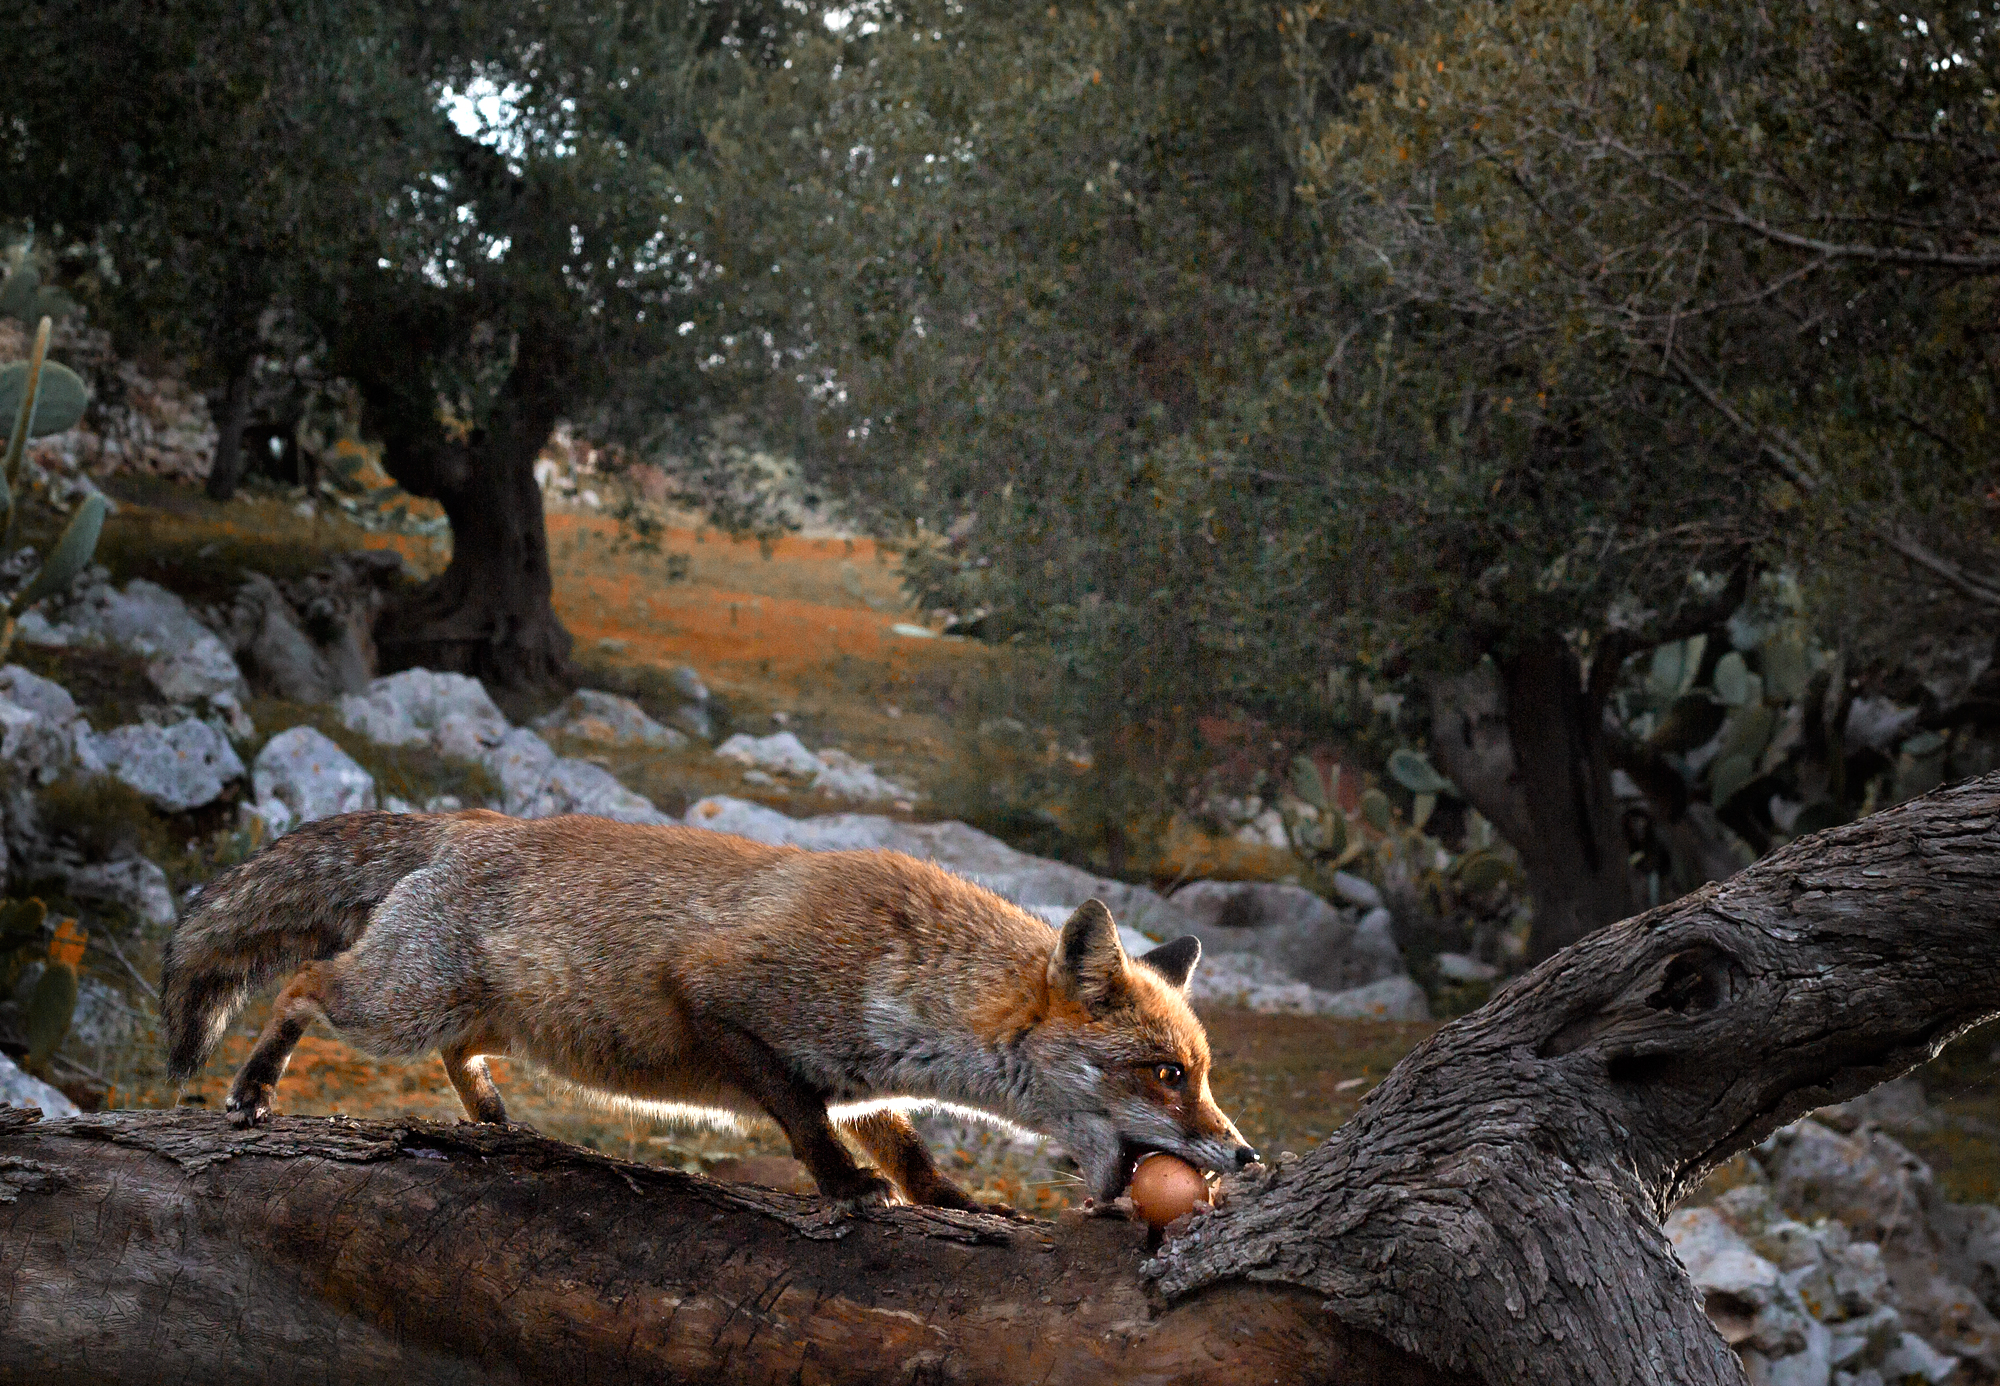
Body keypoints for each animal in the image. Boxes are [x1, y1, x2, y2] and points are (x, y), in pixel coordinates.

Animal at [160, 809, 1259, 1210]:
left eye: (1203, 1074)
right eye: (1166, 1075)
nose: (1246, 1157)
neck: (903, 971)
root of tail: (464, 821)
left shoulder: (865, 1079)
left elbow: (908, 1143)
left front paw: (949, 1202)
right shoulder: (720, 1002)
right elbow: (806, 1121)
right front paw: (845, 1189)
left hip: (464, 1017)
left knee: (457, 1055)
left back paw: (490, 1116)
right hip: (396, 1006)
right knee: (302, 987)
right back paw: (253, 1089)